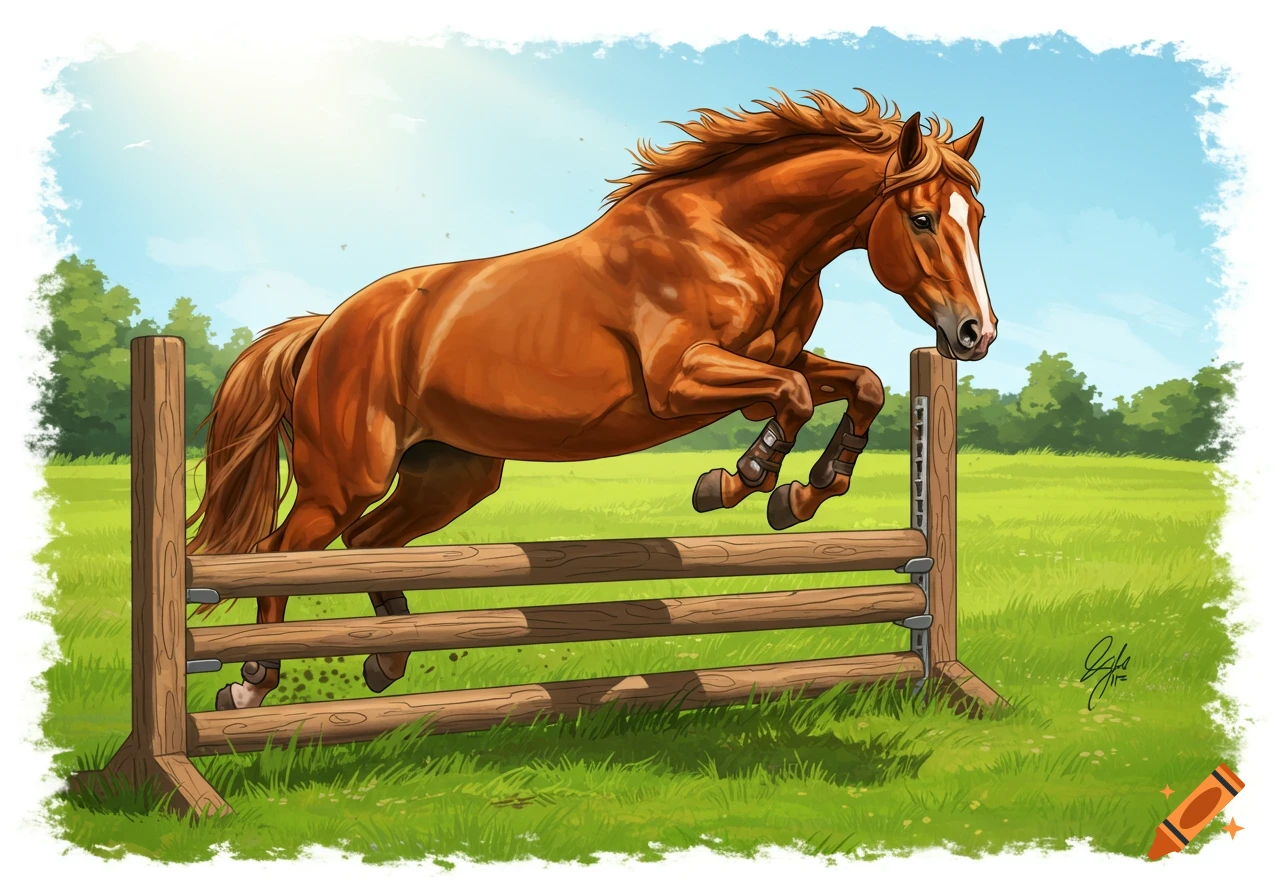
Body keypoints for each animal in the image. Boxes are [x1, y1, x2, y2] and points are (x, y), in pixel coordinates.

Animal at [187, 89, 999, 711]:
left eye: (979, 218)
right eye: (922, 218)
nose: (975, 333)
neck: (741, 240)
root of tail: (329, 325)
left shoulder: (768, 364)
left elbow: (859, 384)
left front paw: (806, 490)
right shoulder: (683, 381)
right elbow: (794, 398)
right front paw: (738, 483)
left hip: (451, 474)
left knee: (369, 544)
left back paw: (387, 658)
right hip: (345, 476)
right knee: (286, 554)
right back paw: (252, 681)